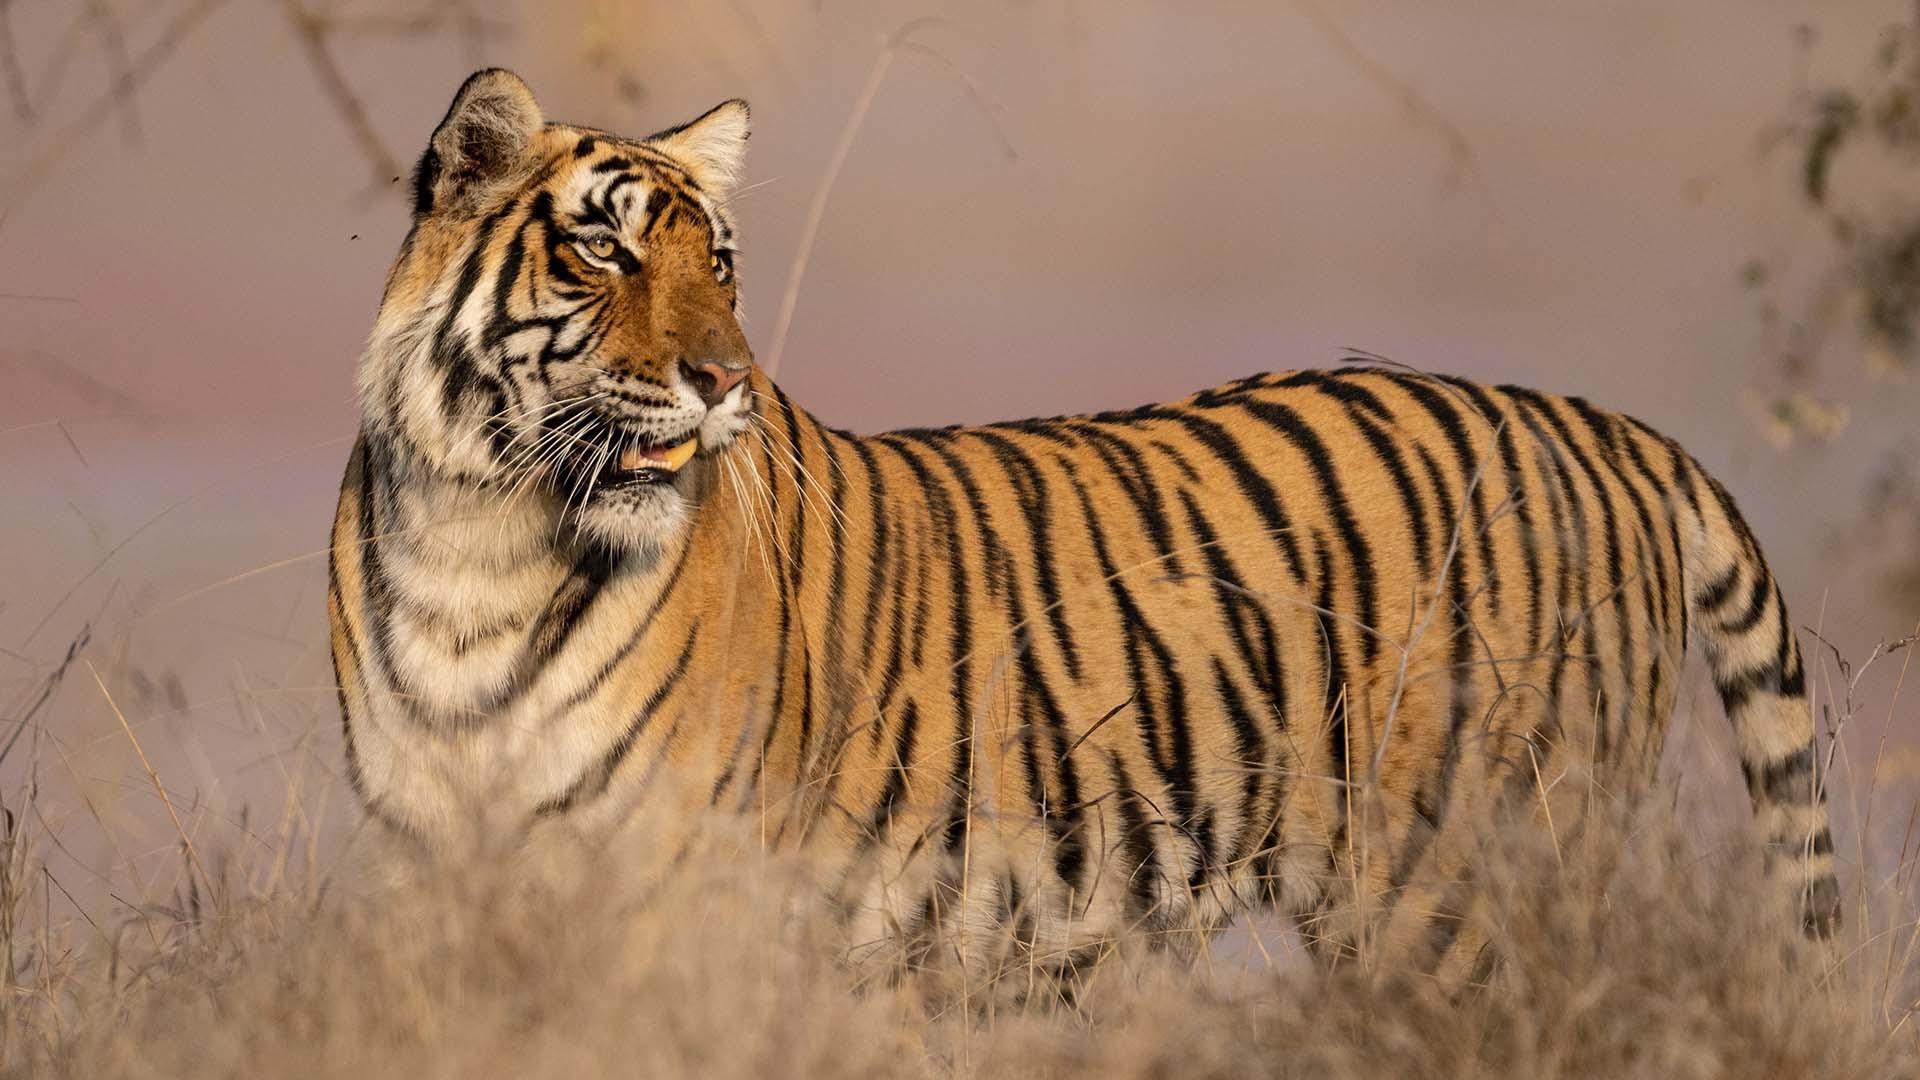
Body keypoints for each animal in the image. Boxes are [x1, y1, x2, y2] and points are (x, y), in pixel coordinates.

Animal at [328, 68, 1840, 992]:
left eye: (723, 265)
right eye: (605, 249)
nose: (725, 381)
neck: (483, 536)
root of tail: (1600, 422)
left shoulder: (673, 889)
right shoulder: (422, 871)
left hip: (1467, 892)